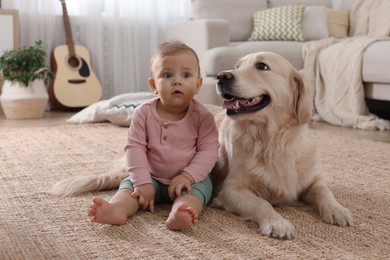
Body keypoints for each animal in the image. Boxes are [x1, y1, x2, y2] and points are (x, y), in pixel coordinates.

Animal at [209, 52, 352, 240]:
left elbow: (324, 190)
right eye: (237, 66)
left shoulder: (311, 177)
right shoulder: (231, 190)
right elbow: (261, 203)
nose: (221, 76)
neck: (272, 140)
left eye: (262, 66)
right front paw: (277, 223)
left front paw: (336, 209)